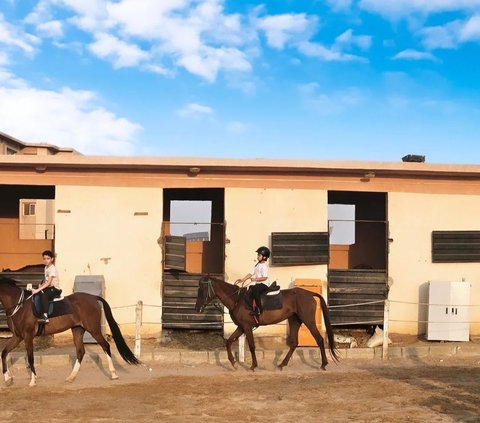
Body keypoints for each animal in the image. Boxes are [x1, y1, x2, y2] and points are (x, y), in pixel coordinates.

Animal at [0, 276, 141, 390]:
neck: (19, 306)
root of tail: (93, 297)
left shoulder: (28, 337)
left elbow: (30, 358)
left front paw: (33, 381)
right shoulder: (18, 337)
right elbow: (4, 353)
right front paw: (8, 380)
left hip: (93, 329)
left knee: (105, 346)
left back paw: (113, 374)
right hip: (78, 329)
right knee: (80, 351)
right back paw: (71, 377)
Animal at [194, 274, 338, 372]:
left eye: (202, 289)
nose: (197, 309)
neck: (237, 300)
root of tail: (309, 294)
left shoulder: (247, 327)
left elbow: (251, 346)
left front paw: (253, 366)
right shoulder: (241, 326)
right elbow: (228, 342)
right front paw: (233, 363)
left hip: (308, 320)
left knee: (319, 339)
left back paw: (323, 364)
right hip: (294, 320)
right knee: (294, 343)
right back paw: (281, 364)